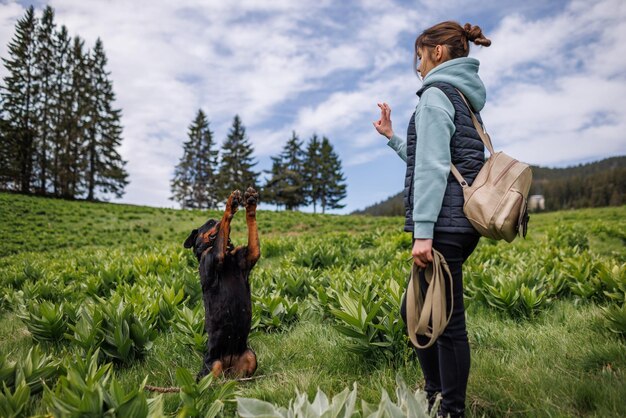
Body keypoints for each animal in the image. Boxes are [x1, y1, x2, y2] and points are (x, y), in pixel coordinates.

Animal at [182, 186, 260, 378]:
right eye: (210, 223)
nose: (215, 219)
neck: (228, 254)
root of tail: (228, 365)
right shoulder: (216, 255)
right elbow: (225, 224)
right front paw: (230, 204)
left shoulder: (251, 254)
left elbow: (251, 225)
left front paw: (250, 204)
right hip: (213, 366)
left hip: (250, 355)